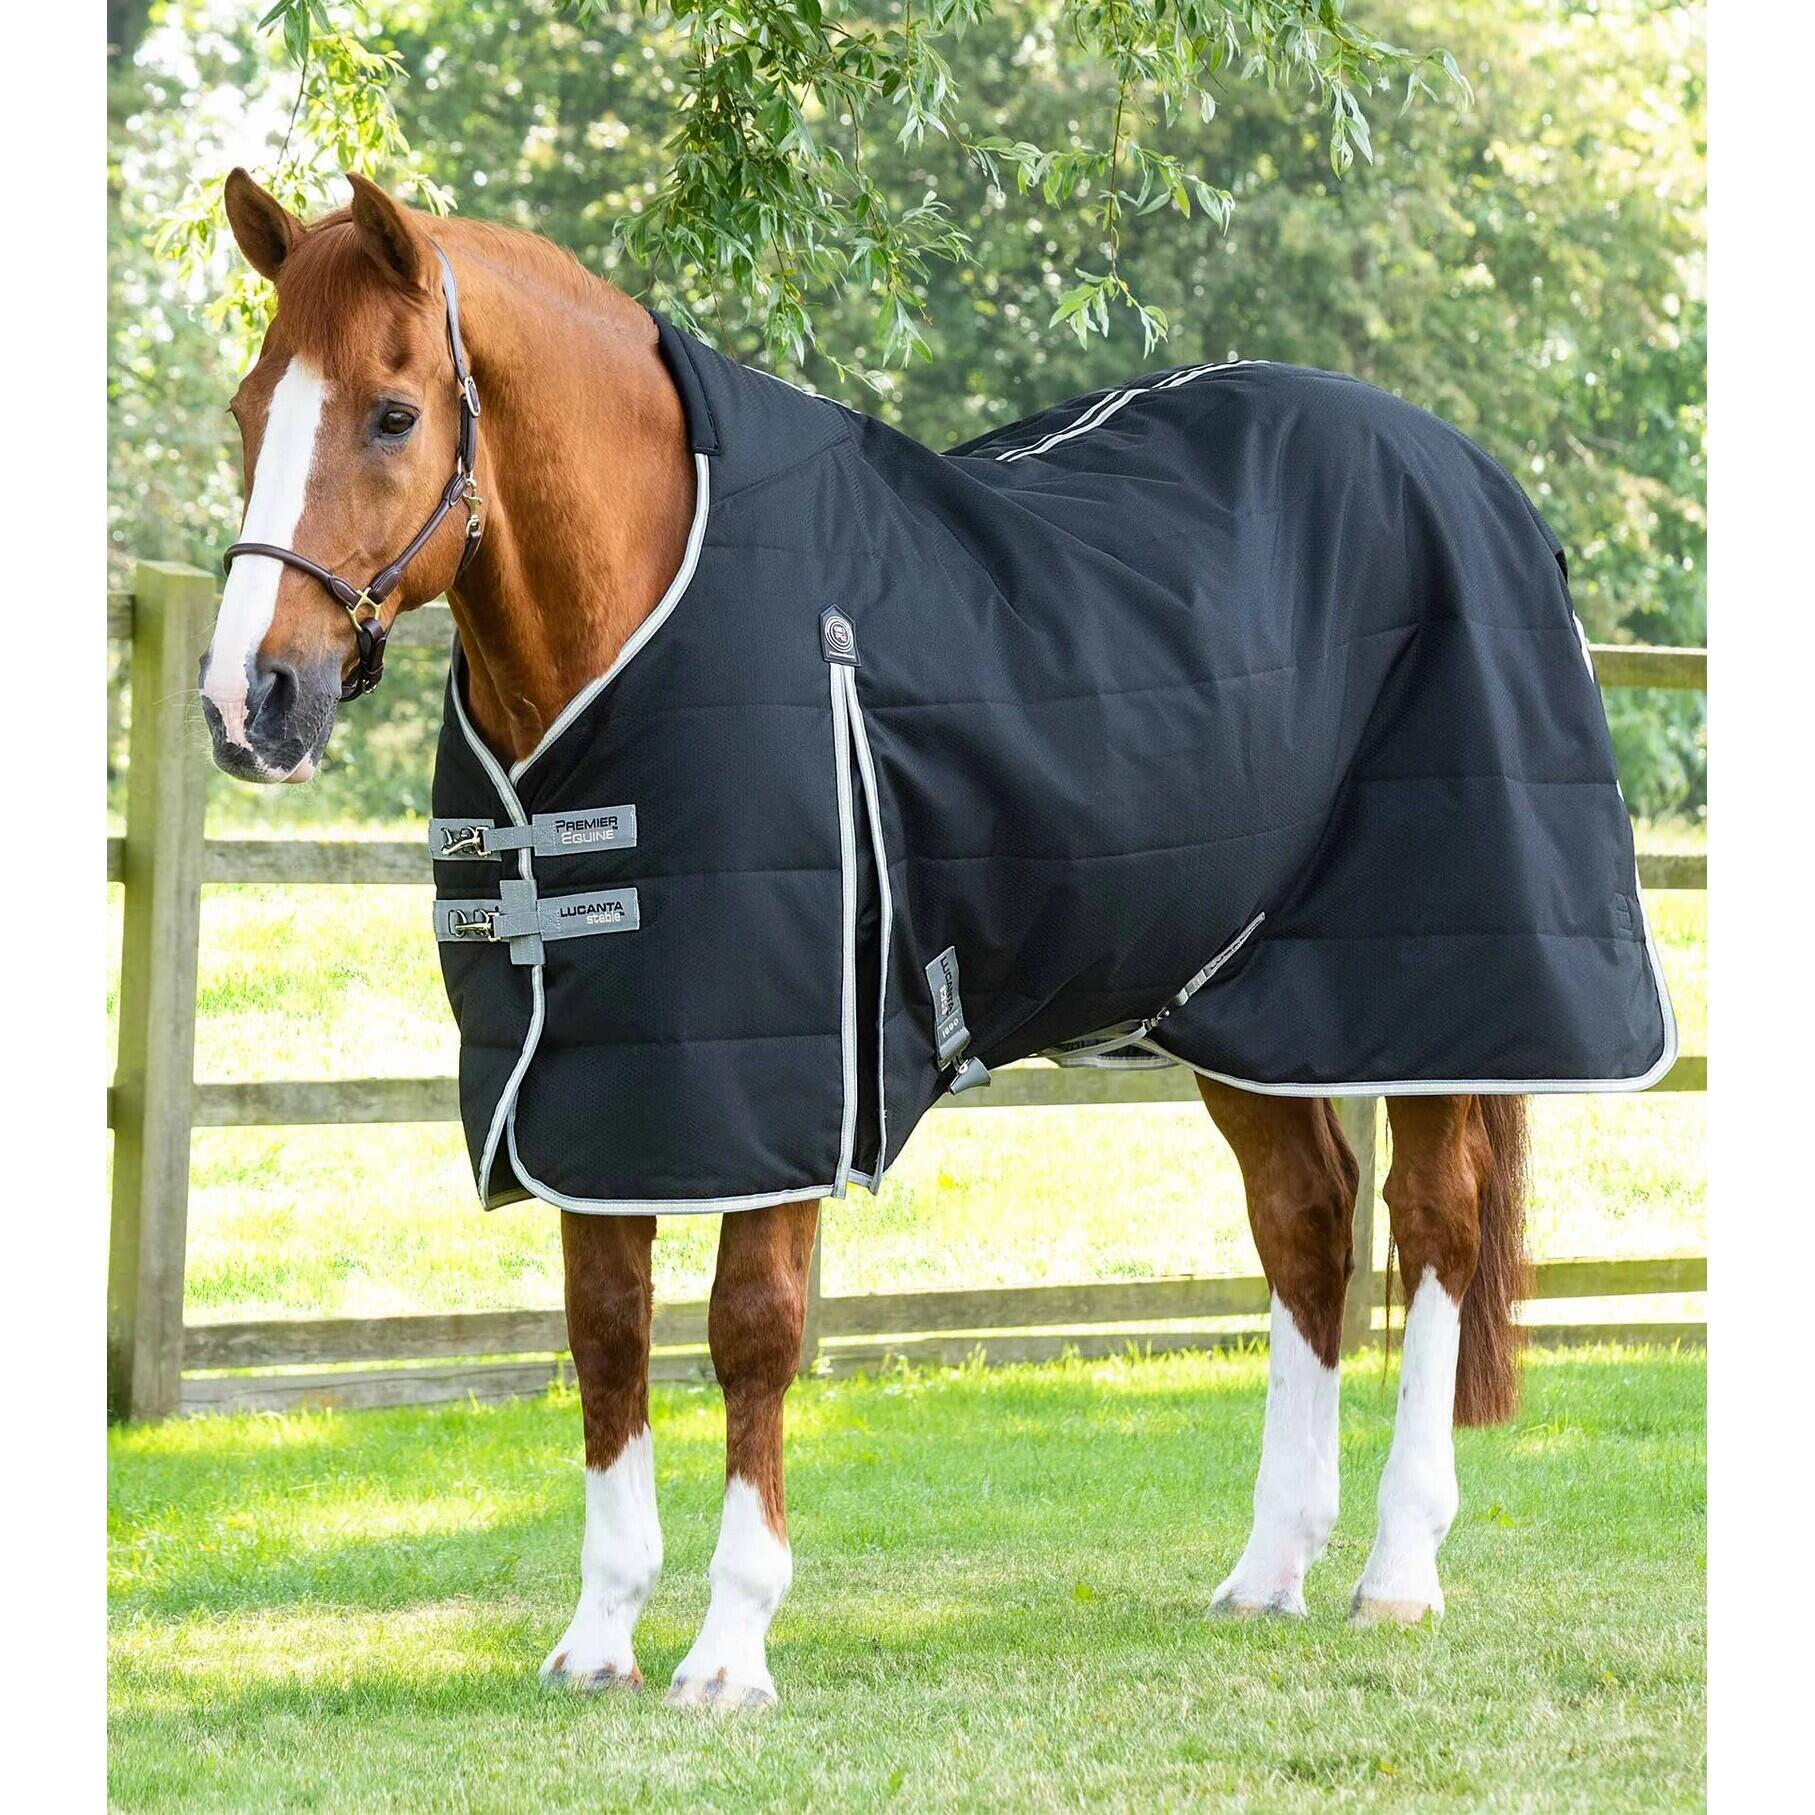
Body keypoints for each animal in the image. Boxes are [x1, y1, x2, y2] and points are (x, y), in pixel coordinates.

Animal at [199, 170, 1540, 1710]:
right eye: (248, 407)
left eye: (391, 412)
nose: (249, 701)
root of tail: (1467, 471)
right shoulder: (606, 1078)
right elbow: (606, 1330)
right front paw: (599, 1635)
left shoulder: (786, 1079)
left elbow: (751, 1329)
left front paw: (729, 1647)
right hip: (1234, 999)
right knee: (1306, 1221)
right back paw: (1270, 1568)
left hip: (1425, 991)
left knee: (1431, 1227)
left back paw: (1397, 1570)